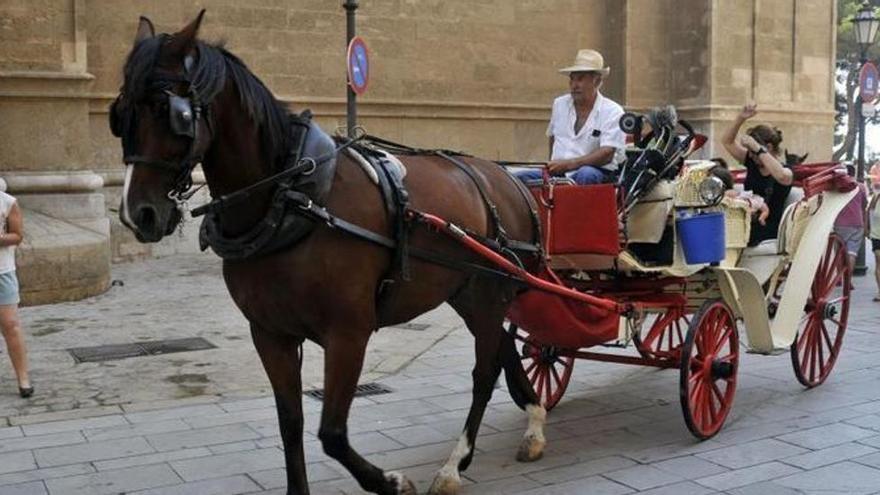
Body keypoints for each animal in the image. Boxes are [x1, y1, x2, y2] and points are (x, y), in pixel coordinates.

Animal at [112, 11, 548, 495]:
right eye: (120, 115)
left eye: (171, 113)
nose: (137, 213)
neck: (292, 198)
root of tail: (507, 178)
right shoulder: (269, 333)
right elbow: (291, 423)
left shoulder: (348, 333)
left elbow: (333, 433)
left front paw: (391, 481)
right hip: (469, 294)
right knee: (504, 349)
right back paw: (533, 422)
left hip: (491, 294)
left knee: (484, 372)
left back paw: (455, 464)